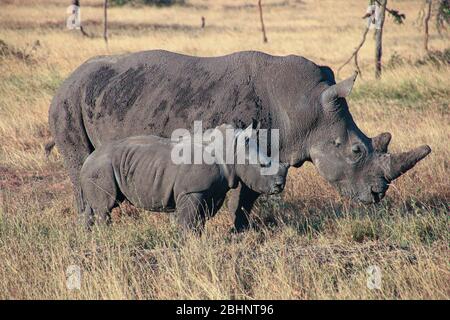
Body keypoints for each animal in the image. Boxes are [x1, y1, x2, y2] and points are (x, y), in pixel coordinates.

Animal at [79, 124, 288, 231]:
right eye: (263, 165)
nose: (280, 185)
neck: (231, 150)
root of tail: (88, 159)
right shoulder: (192, 190)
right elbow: (188, 221)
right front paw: (187, 245)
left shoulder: (212, 191)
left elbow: (200, 221)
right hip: (102, 167)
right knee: (104, 208)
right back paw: (107, 235)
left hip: (100, 167)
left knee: (91, 207)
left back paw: (89, 237)